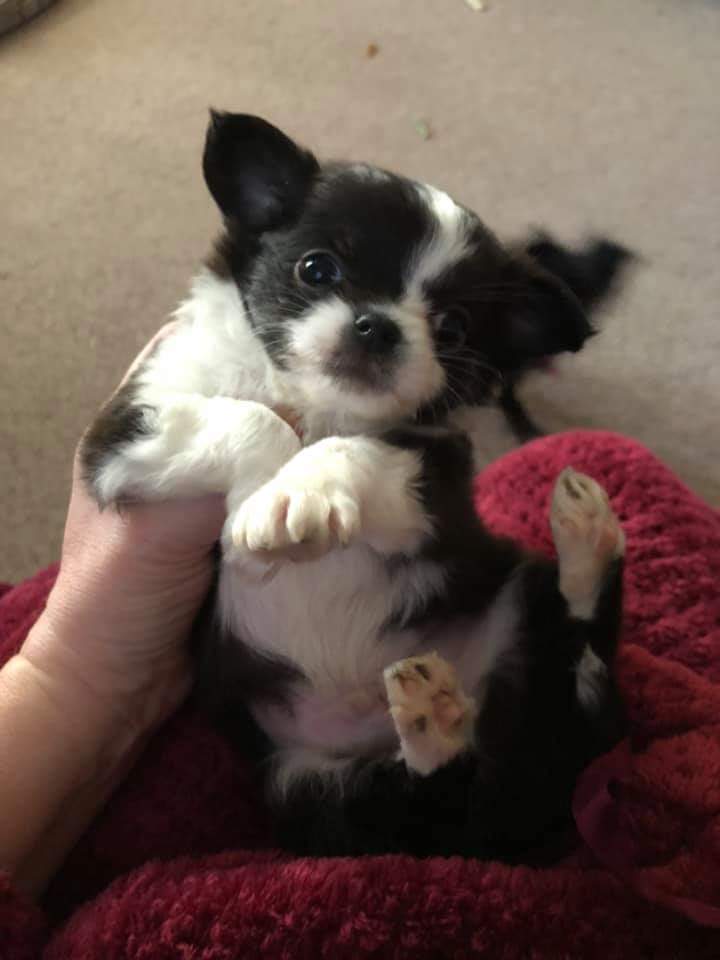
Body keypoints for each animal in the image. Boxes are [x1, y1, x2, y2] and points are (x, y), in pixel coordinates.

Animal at [82, 112, 627, 861]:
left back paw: (587, 543)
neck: (312, 400)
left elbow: (351, 449)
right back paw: (436, 718)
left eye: (453, 328)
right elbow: (254, 420)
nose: (378, 326)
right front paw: (265, 508)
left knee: (583, 662)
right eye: (317, 269)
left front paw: (289, 501)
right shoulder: (123, 432)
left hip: (517, 595)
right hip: (315, 789)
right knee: (433, 798)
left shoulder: (432, 471)